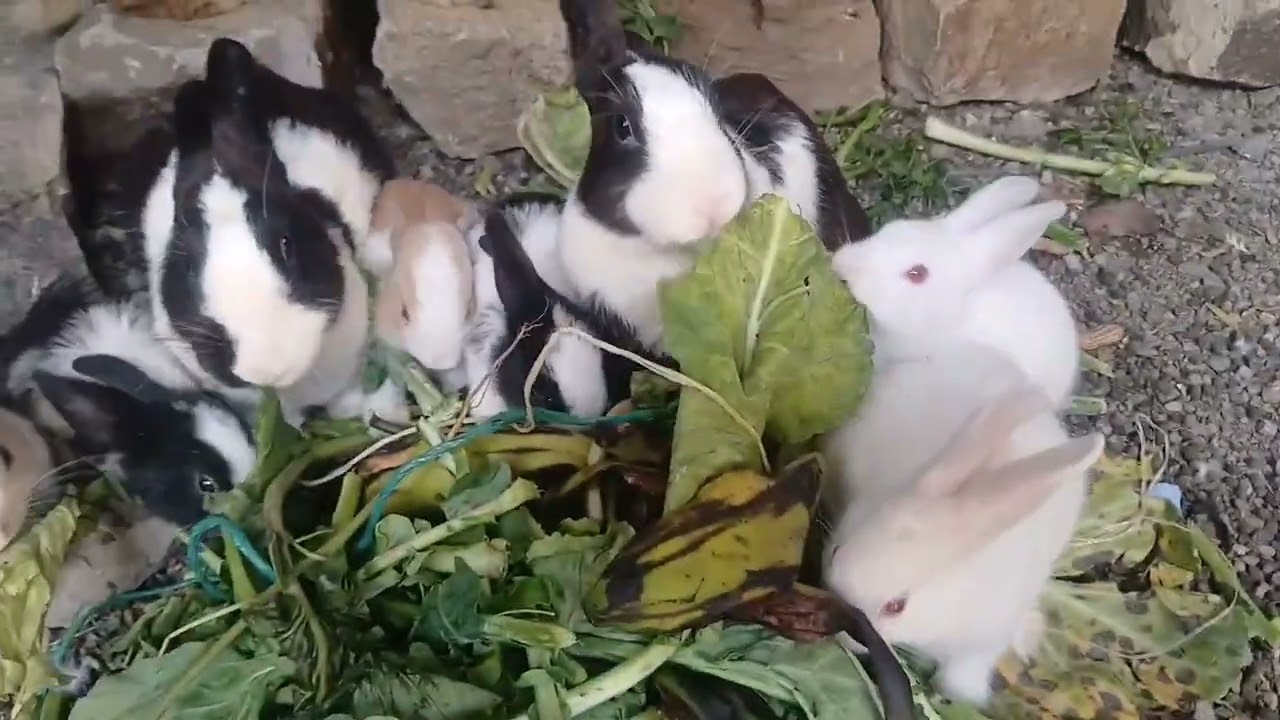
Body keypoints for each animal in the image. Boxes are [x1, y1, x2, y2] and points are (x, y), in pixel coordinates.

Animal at [821, 339, 1104, 706]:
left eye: (896, 606)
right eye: (835, 553)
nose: (842, 638)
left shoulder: (988, 634)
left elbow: (966, 668)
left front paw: (962, 694)